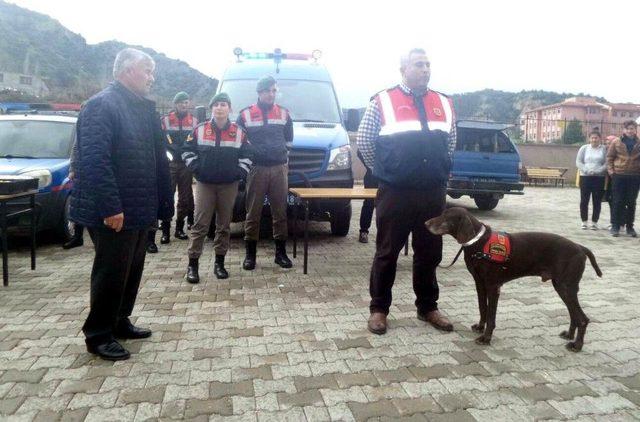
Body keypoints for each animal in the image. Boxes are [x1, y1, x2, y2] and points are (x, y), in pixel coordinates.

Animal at [424, 206, 600, 352]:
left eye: (446, 217)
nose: (425, 223)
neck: (479, 242)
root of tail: (580, 247)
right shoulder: (480, 284)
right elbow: (482, 309)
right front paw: (480, 327)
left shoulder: (493, 287)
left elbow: (491, 316)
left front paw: (486, 338)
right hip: (561, 287)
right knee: (574, 315)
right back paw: (570, 336)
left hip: (566, 287)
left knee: (582, 318)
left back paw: (577, 345)